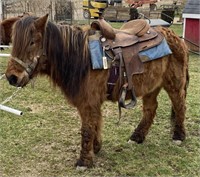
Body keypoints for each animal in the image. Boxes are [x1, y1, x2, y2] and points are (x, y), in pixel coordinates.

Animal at [5, 14, 189, 167]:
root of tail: (174, 36)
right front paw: (96, 147)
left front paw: (84, 160)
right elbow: (95, 123)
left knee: (180, 105)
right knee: (151, 109)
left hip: (174, 84)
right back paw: (137, 137)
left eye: (32, 42)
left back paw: (178, 136)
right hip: (151, 86)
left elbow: (87, 129)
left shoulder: (88, 102)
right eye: (13, 42)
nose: (11, 77)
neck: (82, 58)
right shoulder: (89, 103)